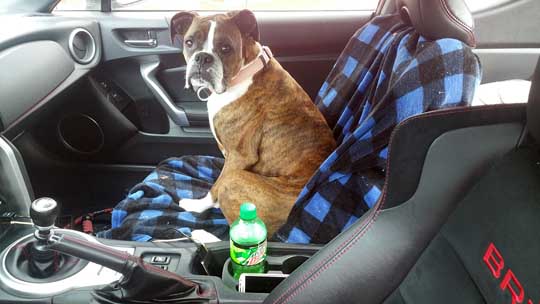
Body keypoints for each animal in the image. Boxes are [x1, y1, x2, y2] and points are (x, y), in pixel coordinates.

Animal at [171, 8, 336, 234]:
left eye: (226, 48)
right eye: (189, 42)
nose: (203, 58)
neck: (244, 72)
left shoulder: (239, 157)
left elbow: (216, 186)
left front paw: (199, 205)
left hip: (236, 181)